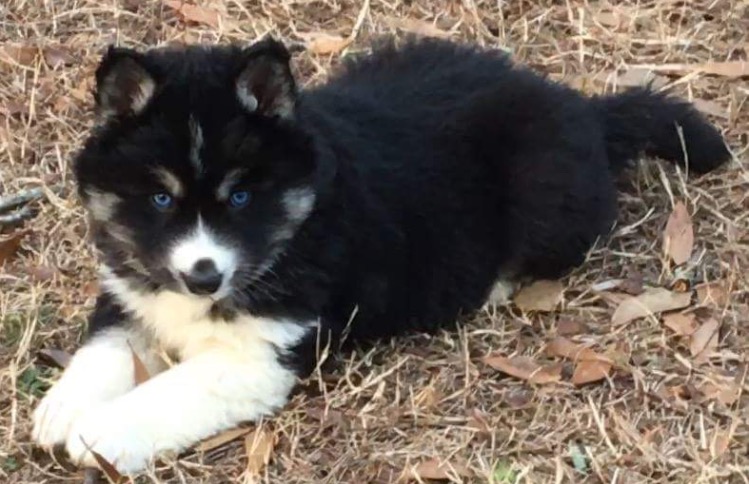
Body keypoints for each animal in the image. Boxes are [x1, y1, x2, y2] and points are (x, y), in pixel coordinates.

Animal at [32, 36, 730, 473]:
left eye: (240, 196)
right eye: (158, 197)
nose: (204, 278)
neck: (297, 224)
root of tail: (582, 108)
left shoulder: (262, 356)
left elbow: (172, 391)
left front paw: (101, 433)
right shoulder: (136, 284)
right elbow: (109, 342)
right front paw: (63, 407)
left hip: (546, 193)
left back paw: (496, 284)